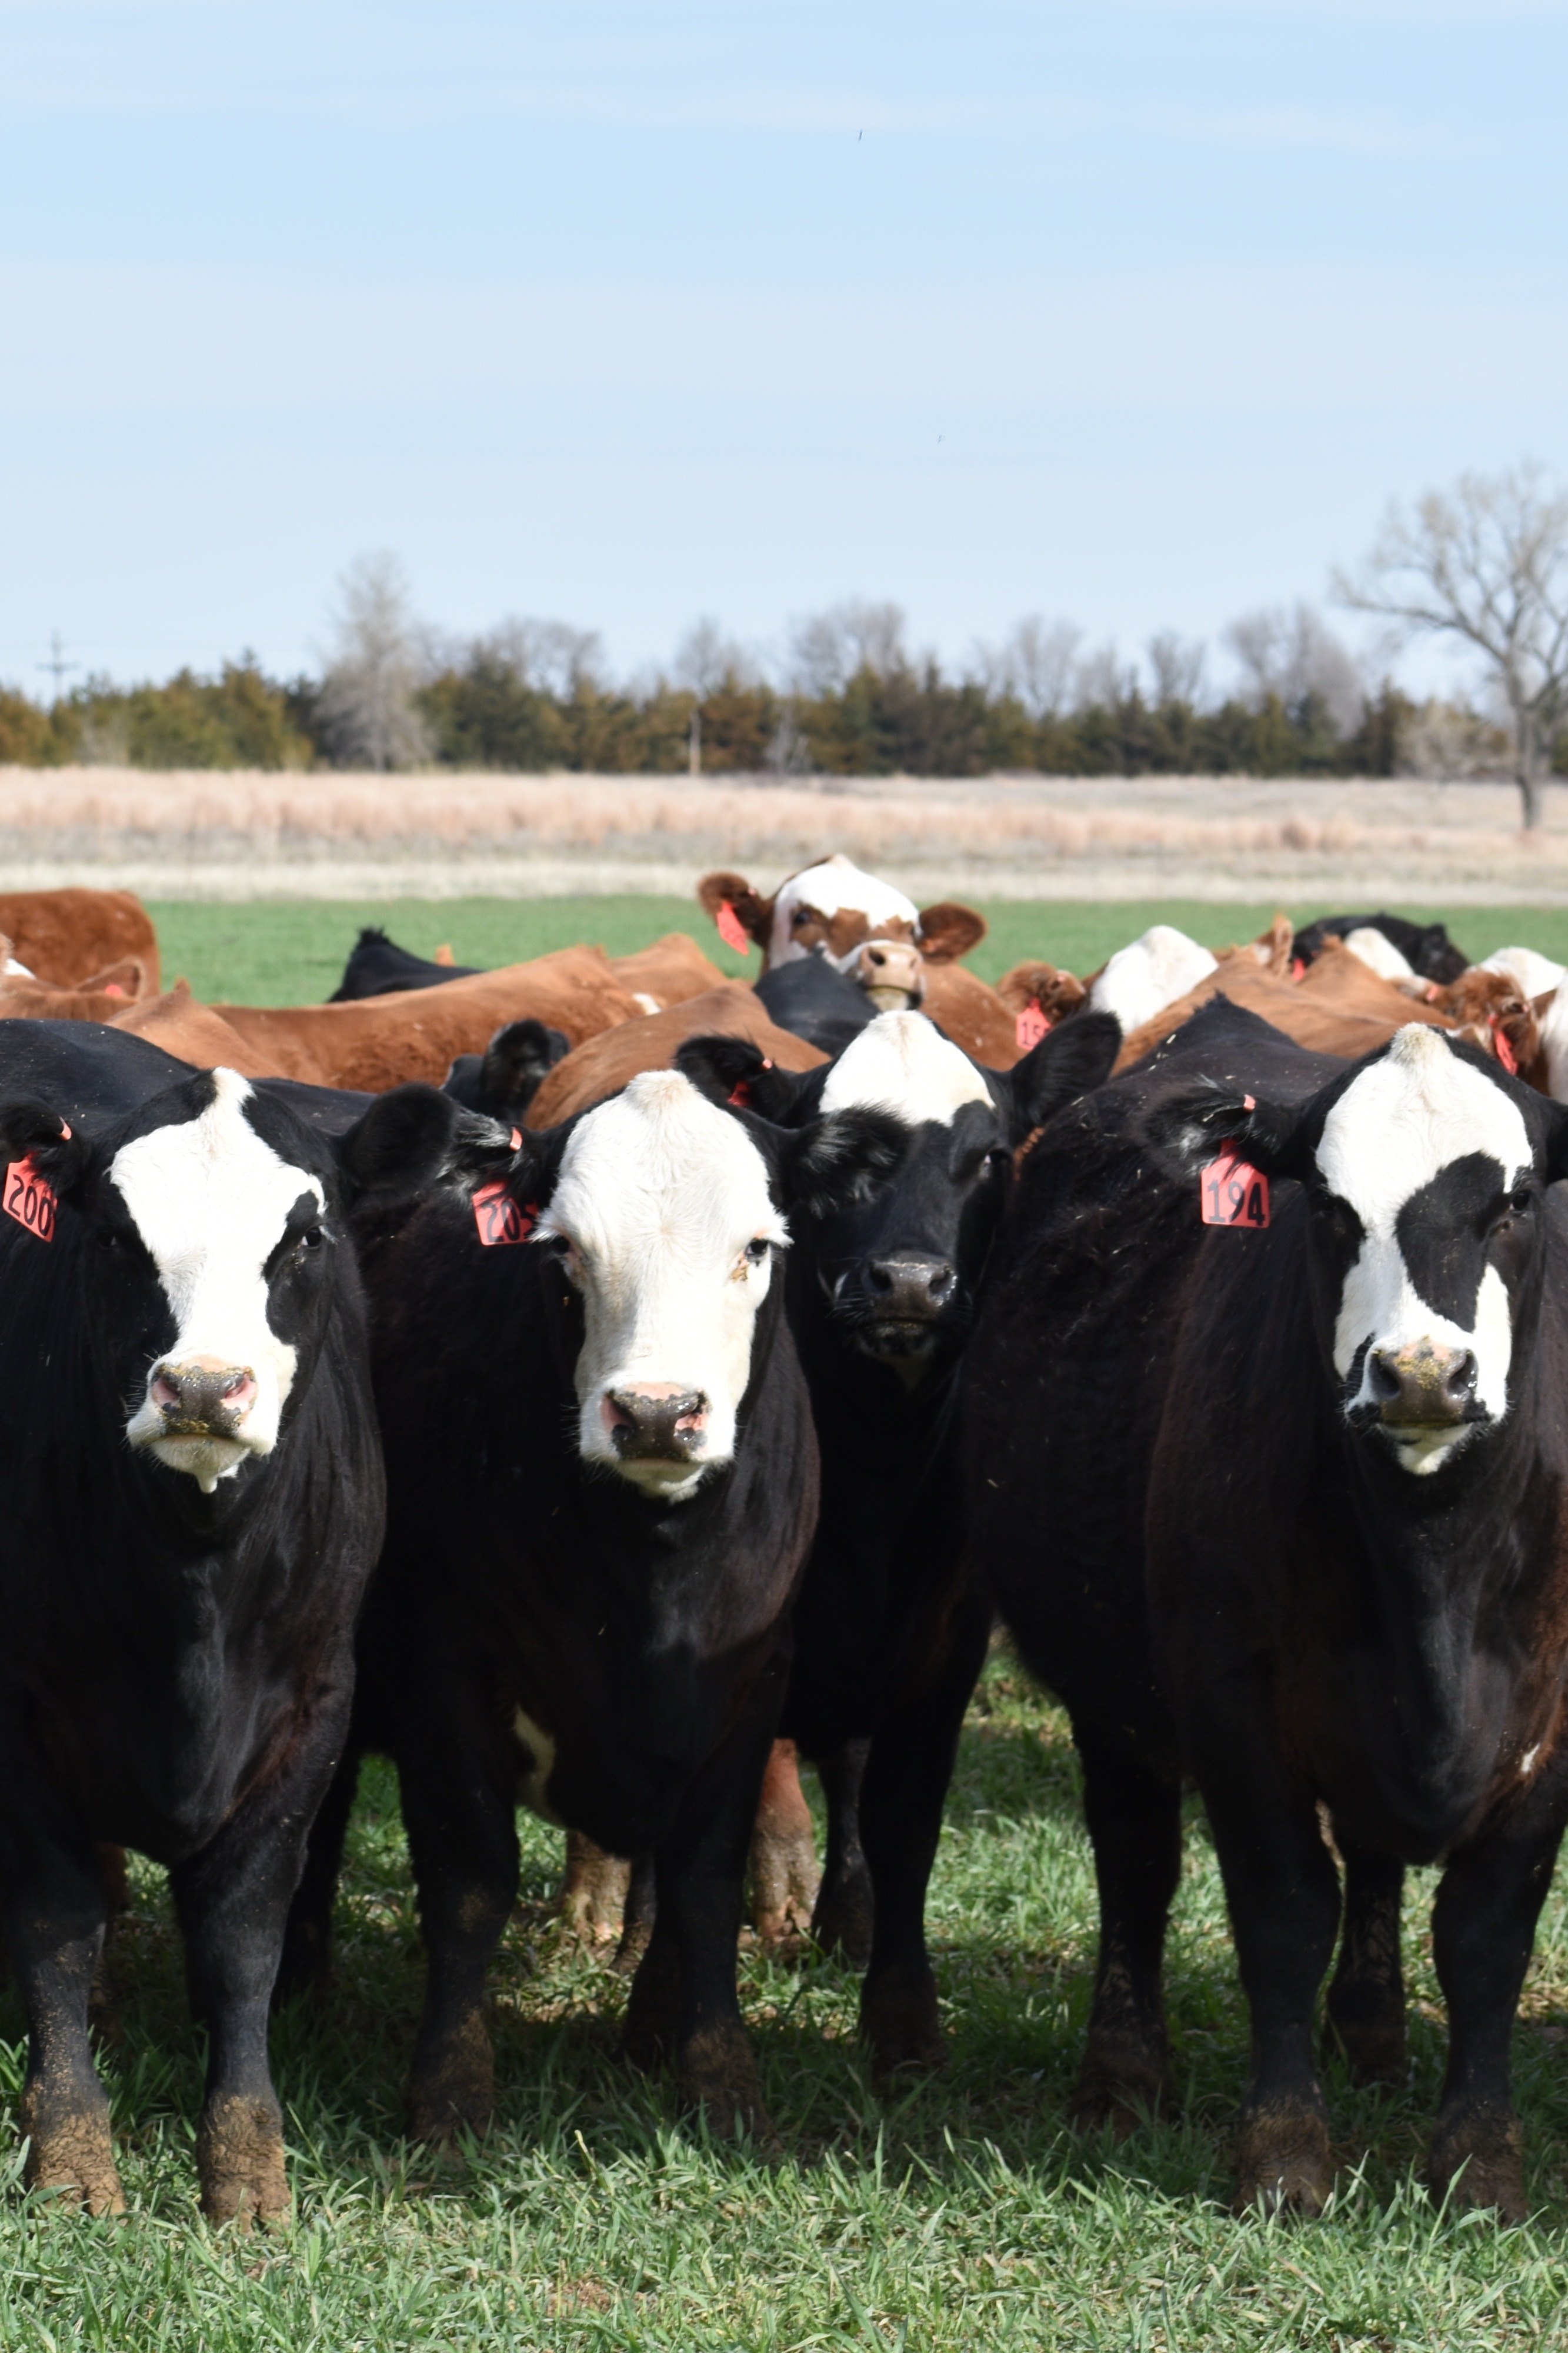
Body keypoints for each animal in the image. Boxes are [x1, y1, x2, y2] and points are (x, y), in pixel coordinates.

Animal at [0, 1026, 472, 2220]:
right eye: (117, 1236)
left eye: (303, 1239)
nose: (206, 1390)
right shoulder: (19, 1710)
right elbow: (56, 1927)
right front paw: (69, 2145)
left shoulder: (314, 1707)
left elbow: (242, 1938)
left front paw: (248, 2164)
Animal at [278, 1069, 903, 2142]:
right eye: (562, 1248)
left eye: (757, 1246)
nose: (655, 1412)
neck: (652, 1580)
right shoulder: (446, 1669)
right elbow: (471, 1881)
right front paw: (449, 2091)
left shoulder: (752, 1680)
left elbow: (704, 1883)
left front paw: (716, 2078)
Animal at [669, 1008, 1122, 2070]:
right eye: (835, 1161)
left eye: (991, 1155)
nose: (910, 1282)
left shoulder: (943, 1645)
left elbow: (901, 1811)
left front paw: (902, 2020)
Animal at [966, 996, 1568, 2219]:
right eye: (1329, 1207)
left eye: (1516, 1199)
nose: (1420, 1375)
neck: (1433, 1565)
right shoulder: (1231, 1697)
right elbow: (1286, 1912)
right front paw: (1285, 2153)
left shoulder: (1554, 1721)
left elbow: (1485, 1937)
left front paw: (1478, 2163)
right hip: (1113, 1696)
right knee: (1137, 1864)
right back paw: (1123, 2073)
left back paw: (1374, 2038)